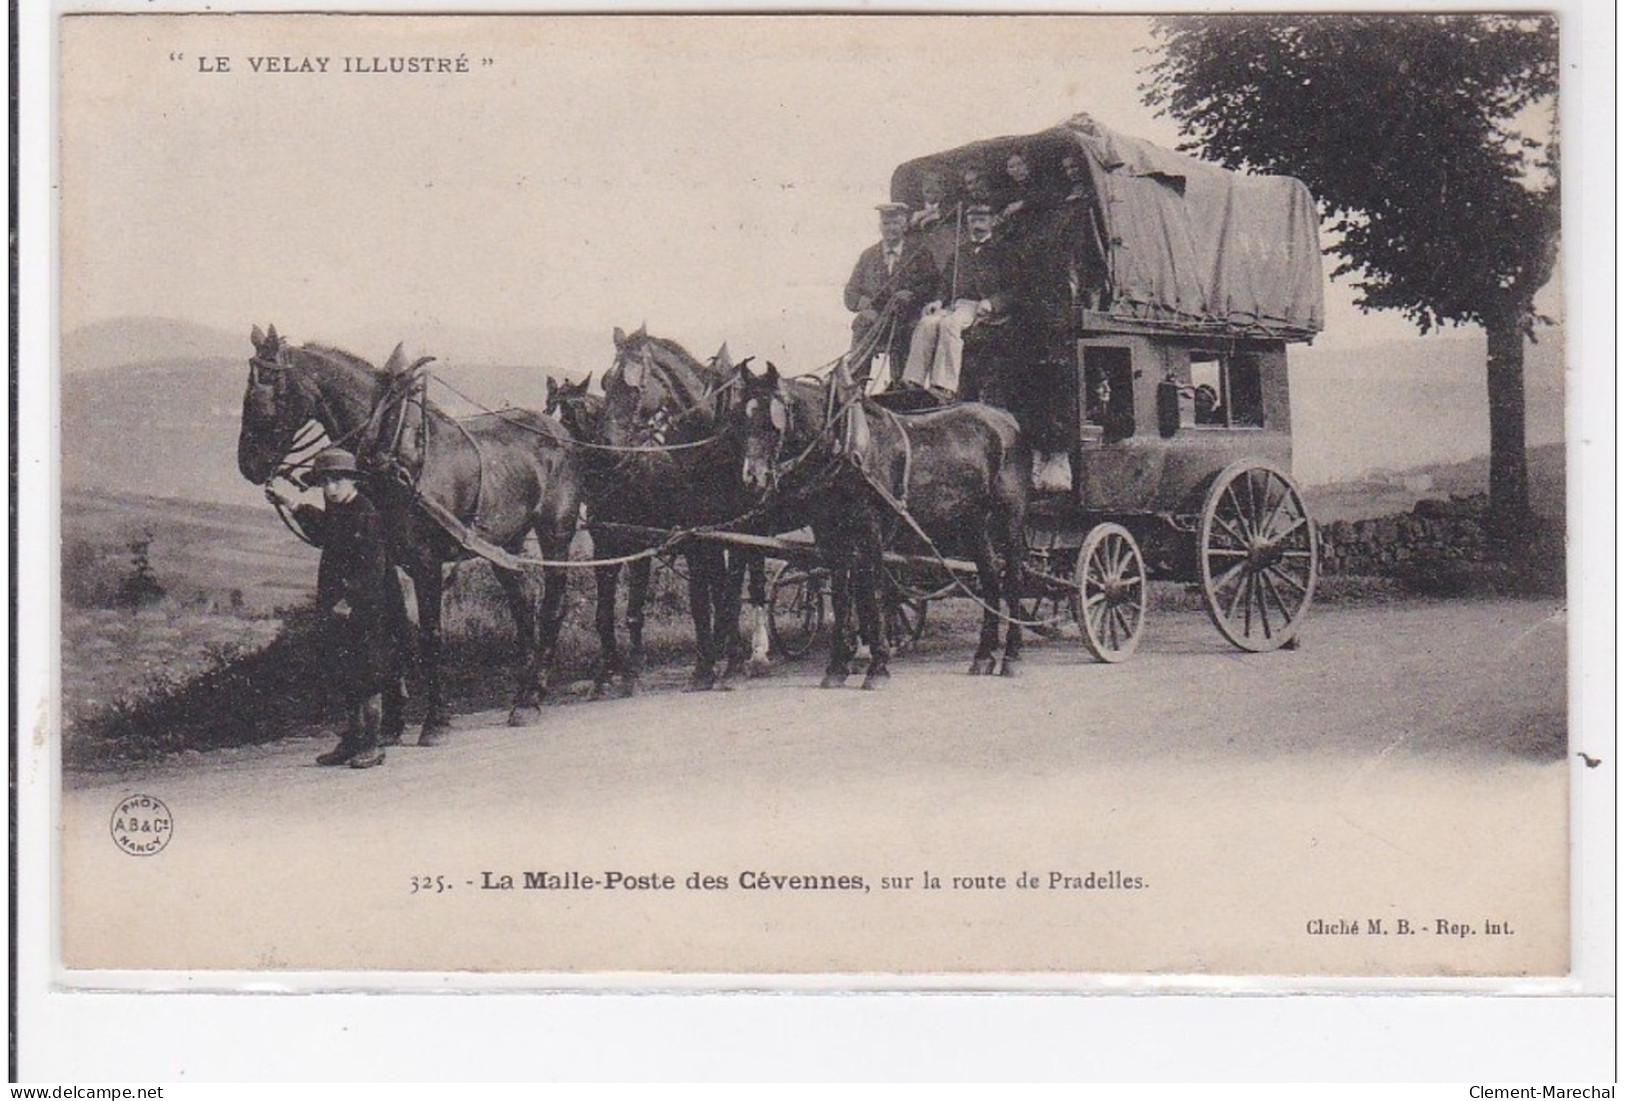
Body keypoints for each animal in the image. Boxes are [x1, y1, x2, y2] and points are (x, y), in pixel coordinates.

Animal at [240, 326, 585, 740]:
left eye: (269, 391)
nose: (248, 465)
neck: (392, 447)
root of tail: (559, 432)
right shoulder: (386, 558)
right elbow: (396, 633)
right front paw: (392, 720)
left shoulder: (426, 562)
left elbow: (430, 635)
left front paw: (435, 719)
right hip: (505, 542)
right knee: (522, 606)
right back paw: (521, 694)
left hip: (555, 533)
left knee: (552, 607)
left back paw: (533, 697)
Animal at [601, 328, 770, 688]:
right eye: (606, 382)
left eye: (633, 386)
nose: (607, 445)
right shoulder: (697, 532)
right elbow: (701, 597)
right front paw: (705, 665)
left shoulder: (738, 528)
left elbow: (730, 592)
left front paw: (730, 660)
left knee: (755, 582)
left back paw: (755, 654)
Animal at [734, 362, 1027, 688]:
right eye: (742, 420)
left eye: (770, 422)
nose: (752, 478)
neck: (847, 444)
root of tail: (1006, 419)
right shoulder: (831, 537)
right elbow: (842, 597)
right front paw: (837, 667)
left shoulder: (871, 532)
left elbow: (868, 594)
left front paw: (877, 666)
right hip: (973, 523)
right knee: (990, 579)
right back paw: (983, 656)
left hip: (1009, 517)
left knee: (1012, 578)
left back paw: (1011, 656)